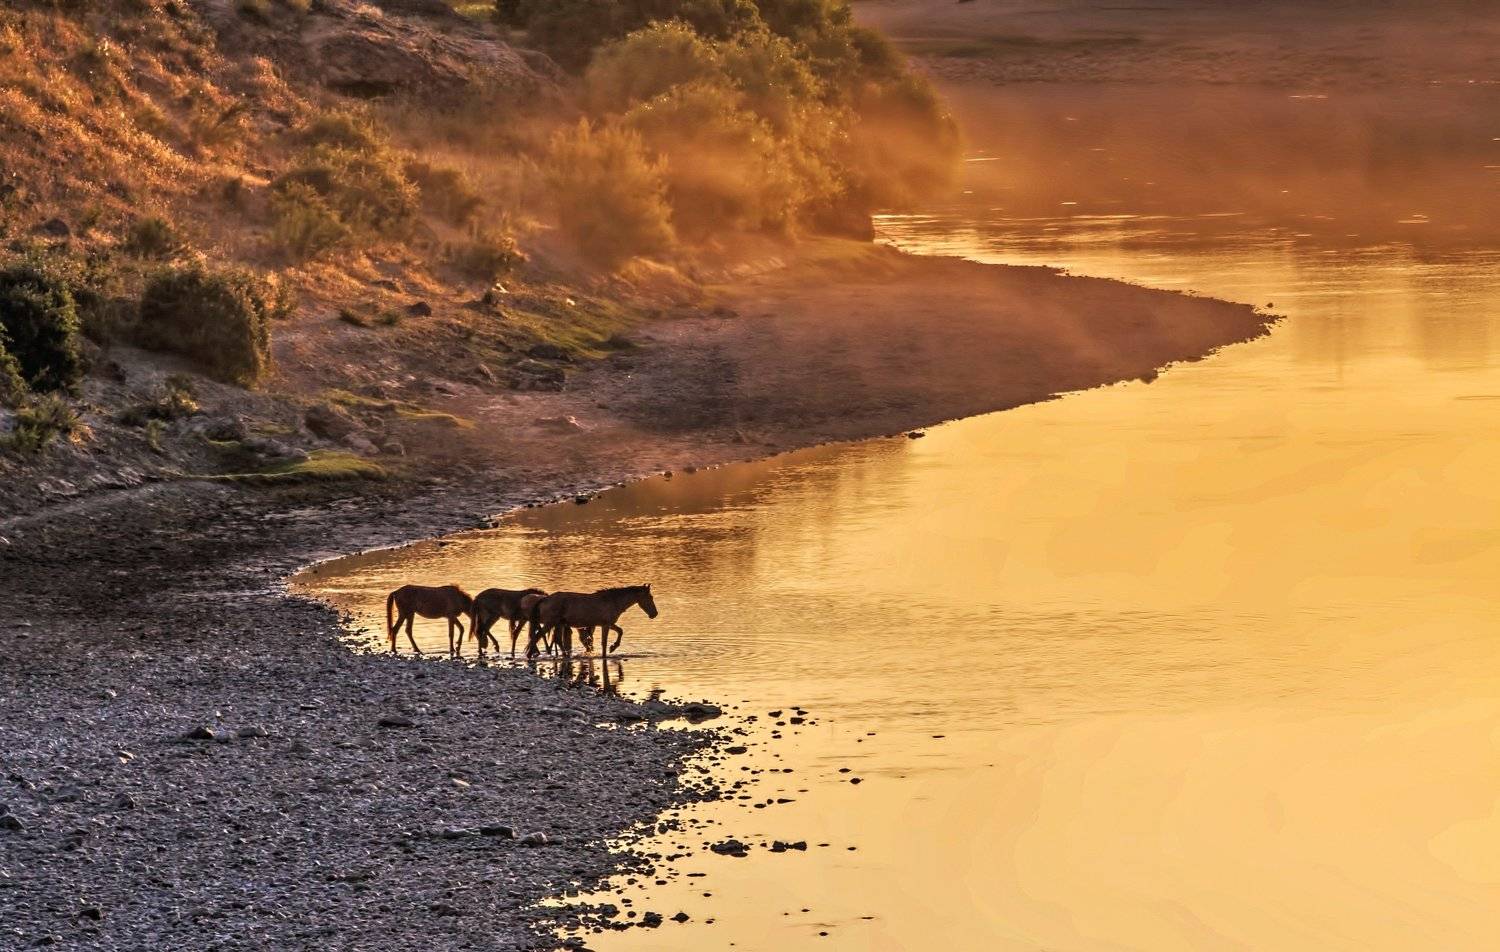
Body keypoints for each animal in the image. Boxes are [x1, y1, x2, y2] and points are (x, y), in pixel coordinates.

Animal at [527, 585, 658, 661]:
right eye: (650, 597)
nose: (654, 614)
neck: (613, 600)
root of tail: (545, 599)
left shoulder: (610, 624)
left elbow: (620, 631)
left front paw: (613, 647)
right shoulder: (605, 625)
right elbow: (604, 642)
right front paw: (609, 651)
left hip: (558, 624)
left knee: (557, 640)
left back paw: (565, 655)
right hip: (551, 623)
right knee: (537, 637)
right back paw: (530, 655)